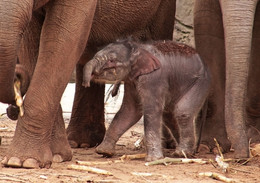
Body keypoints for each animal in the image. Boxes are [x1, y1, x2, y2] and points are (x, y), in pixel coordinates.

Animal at [82, 38, 210, 160]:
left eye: (111, 61)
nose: (86, 84)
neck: (138, 49)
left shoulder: (154, 78)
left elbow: (151, 111)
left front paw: (153, 159)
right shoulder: (131, 81)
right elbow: (130, 111)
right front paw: (104, 152)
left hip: (199, 83)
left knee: (182, 112)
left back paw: (182, 153)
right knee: (169, 116)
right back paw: (188, 152)